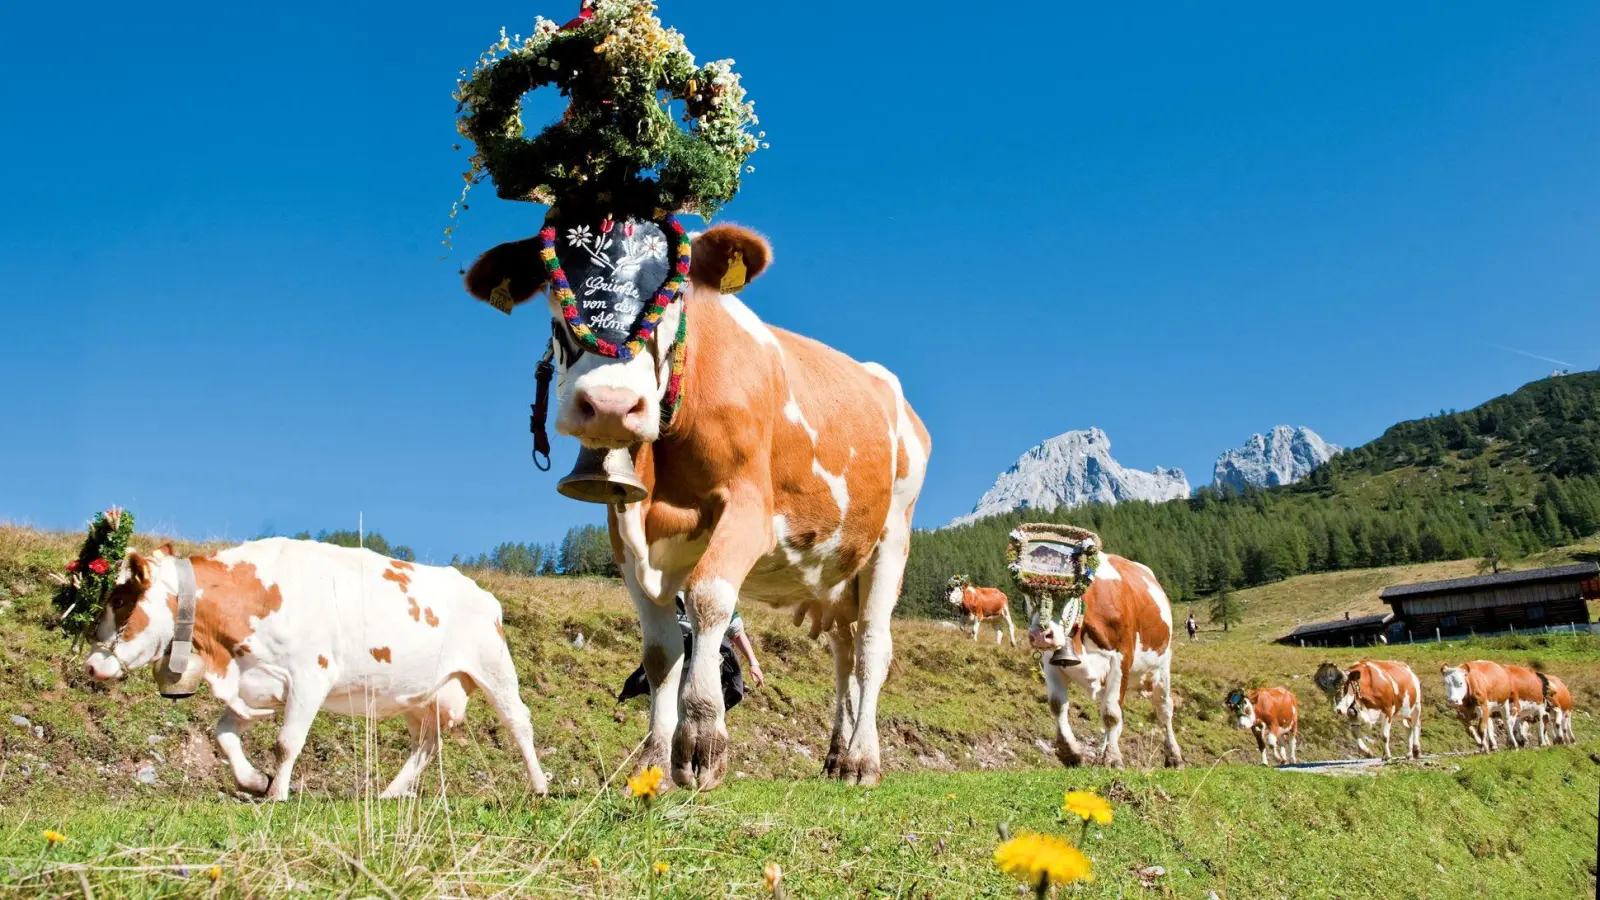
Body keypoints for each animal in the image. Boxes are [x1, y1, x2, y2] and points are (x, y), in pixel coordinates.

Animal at [464, 222, 934, 784]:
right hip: (838, 573)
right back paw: (837, 756)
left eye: (669, 300)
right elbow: (660, 650)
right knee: (843, 653)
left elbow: (709, 599)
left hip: (892, 537)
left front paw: (702, 742)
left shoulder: (749, 510)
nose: (610, 404)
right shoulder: (625, 532)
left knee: (871, 648)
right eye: (556, 303)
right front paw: (654, 762)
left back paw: (862, 760)